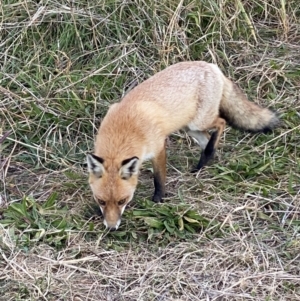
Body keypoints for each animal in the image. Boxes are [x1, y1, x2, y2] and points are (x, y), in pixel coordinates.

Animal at [86, 61, 278, 230]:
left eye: (122, 201)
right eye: (101, 201)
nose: (111, 228)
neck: (123, 132)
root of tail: (211, 65)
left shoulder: (158, 148)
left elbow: (159, 179)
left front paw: (158, 200)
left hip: (198, 122)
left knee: (221, 123)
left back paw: (206, 157)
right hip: (190, 128)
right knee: (208, 139)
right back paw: (204, 162)